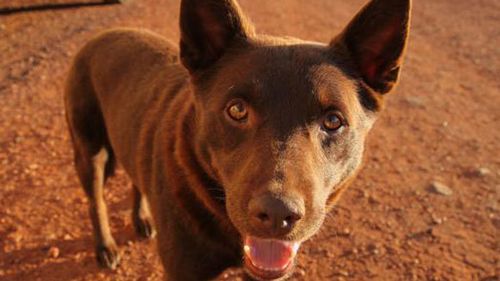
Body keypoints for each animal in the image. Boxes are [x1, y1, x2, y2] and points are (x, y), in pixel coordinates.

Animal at [64, 0, 412, 278]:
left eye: (333, 121)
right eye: (237, 110)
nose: (277, 214)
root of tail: (102, 35)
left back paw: (141, 218)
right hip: (89, 151)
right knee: (96, 201)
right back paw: (105, 247)